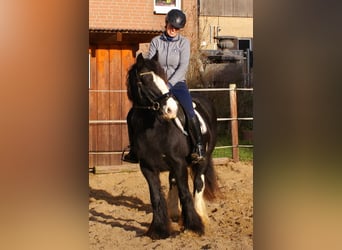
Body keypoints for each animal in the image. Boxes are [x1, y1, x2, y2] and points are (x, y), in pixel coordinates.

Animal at [125, 52, 219, 238]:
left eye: (163, 77)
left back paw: (201, 216)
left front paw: (193, 226)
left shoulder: (178, 163)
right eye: (145, 79)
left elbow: (186, 193)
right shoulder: (147, 167)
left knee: (198, 183)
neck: (154, 129)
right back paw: (175, 213)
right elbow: (155, 197)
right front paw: (158, 229)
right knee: (173, 181)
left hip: (203, 158)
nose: (170, 110)